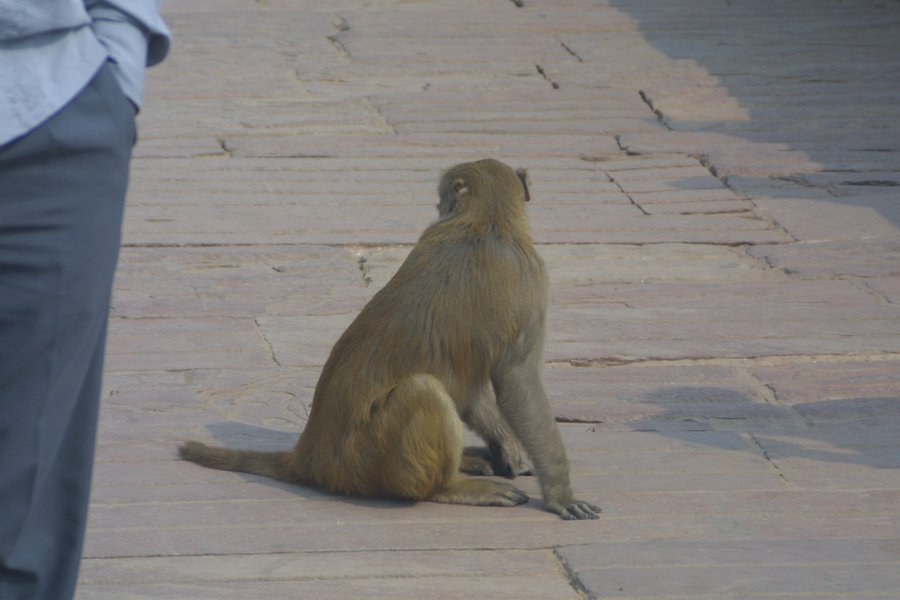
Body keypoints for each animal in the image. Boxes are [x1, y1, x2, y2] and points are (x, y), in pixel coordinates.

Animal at [179, 158, 600, 520]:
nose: (437, 205)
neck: (487, 220)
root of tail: (311, 455)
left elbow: (474, 385)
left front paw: (511, 451)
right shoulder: (532, 278)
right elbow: (517, 381)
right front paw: (561, 493)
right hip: (369, 458)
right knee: (424, 391)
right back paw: (448, 487)